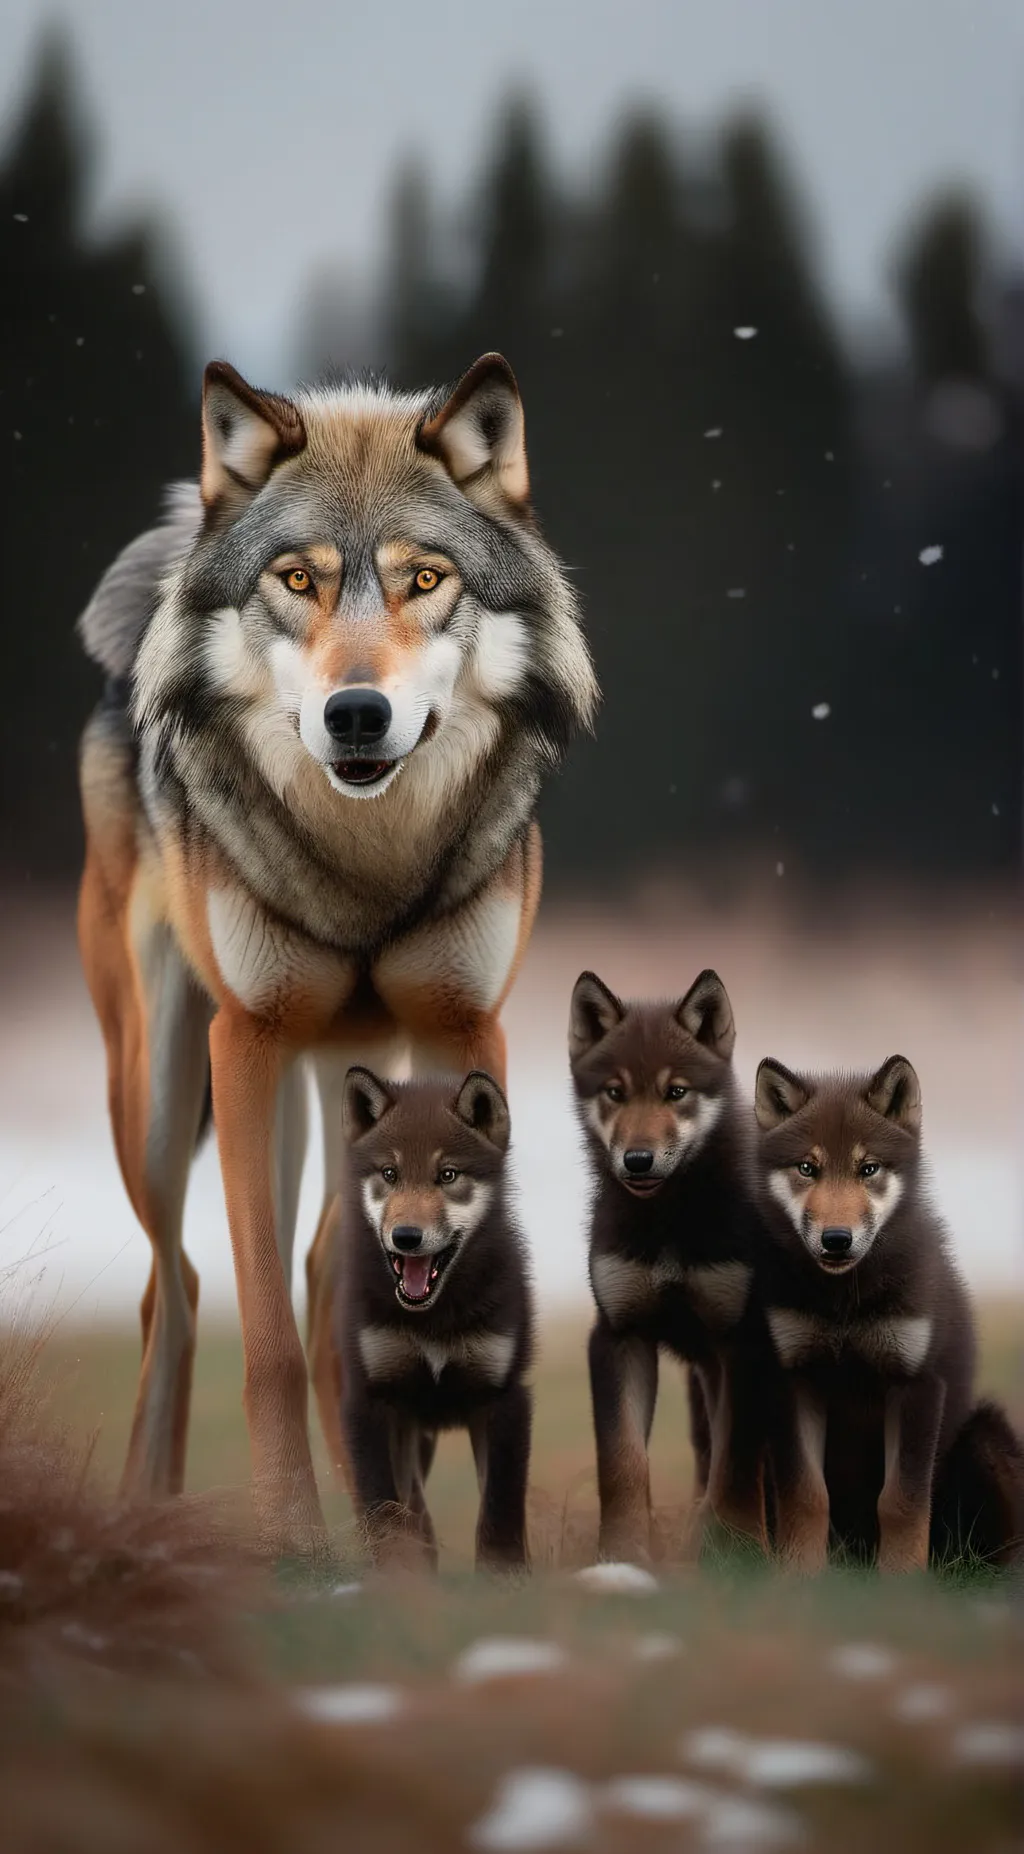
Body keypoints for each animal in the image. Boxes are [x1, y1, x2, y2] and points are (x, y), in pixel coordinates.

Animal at [331, 1065, 532, 1570]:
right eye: (390, 1173)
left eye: (448, 1175)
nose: (406, 1236)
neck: (434, 1322)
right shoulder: (370, 1400)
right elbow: (385, 1513)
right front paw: (396, 1578)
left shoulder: (504, 1397)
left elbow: (499, 1514)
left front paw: (505, 1580)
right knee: (415, 1513)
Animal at [569, 969, 770, 1563]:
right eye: (615, 1092)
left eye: (675, 1092)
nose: (637, 1160)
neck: (669, 1222)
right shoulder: (619, 1334)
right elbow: (624, 1464)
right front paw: (623, 1556)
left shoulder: (744, 1342)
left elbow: (736, 1466)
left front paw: (738, 1555)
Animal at [753, 1054, 1024, 1572]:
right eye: (807, 1168)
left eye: (869, 1168)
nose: (836, 1240)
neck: (845, 1305)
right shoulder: (796, 1380)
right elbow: (807, 1497)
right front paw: (799, 1577)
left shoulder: (917, 1384)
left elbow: (900, 1503)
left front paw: (900, 1580)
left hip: (987, 1435)